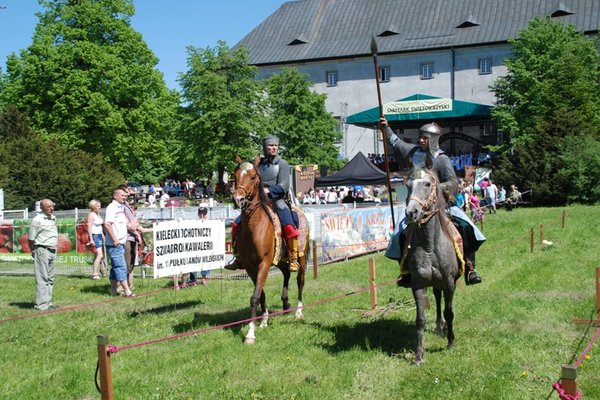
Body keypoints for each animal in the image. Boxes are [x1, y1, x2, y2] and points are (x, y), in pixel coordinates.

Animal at [232, 155, 310, 344]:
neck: (254, 227)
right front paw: (263, 321)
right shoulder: (250, 267)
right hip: (281, 260)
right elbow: (260, 295)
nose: (238, 199)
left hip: (302, 257)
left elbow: (254, 297)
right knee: (286, 273)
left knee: (300, 281)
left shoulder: (264, 263)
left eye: (253, 176)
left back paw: (298, 311)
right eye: (235, 175)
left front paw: (250, 334)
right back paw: (286, 303)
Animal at [404, 164, 464, 364]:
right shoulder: (417, 285)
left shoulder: (450, 283)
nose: (411, 212)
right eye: (408, 185)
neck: (430, 246)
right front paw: (418, 355)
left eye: (428, 184)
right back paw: (439, 326)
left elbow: (449, 312)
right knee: (437, 298)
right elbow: (420, 319)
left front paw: (451, 341)